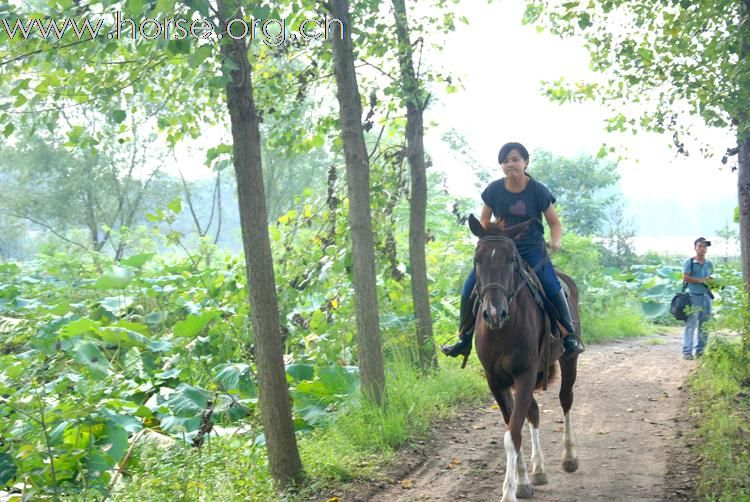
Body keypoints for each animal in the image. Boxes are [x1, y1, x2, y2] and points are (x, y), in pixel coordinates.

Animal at [470, 214, 580, 500]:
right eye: (477, 259)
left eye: (511, 259)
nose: (494, 313)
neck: (502, 330)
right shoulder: (496, 381)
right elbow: (513, 426)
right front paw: (522, 482)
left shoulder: (525, 374)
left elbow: (513, 434)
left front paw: (509, 491)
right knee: (534, 411)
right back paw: (538, 469)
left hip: (567, 361)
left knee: (565, 400)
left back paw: (569, 457)